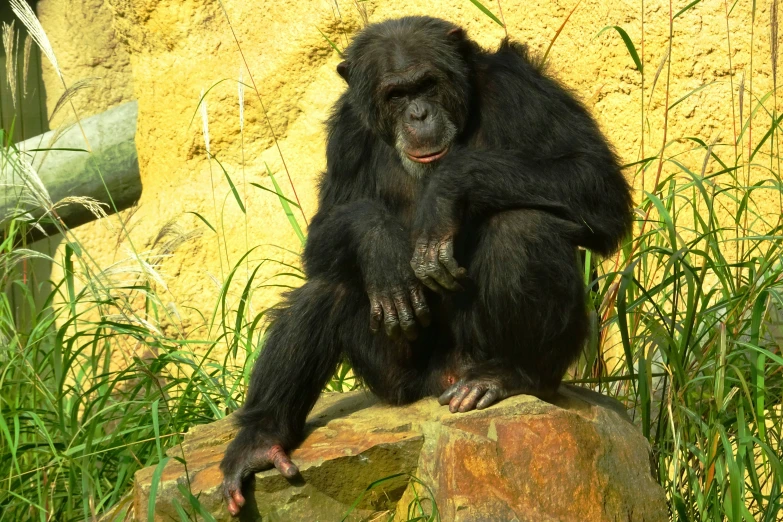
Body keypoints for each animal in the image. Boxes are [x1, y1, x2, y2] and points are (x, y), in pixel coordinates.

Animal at [217, 15, 632, 512]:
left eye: (427, 85)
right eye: (396, 94)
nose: (418, 114)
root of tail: (443, 381)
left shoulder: (521, 87)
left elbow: (595, 181)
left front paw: (447, 189)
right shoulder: (346, 131)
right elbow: (324, 228)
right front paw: (380, 244)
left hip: (497, 359)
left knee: (523, 227)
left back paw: (508, 374)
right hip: (394, 380)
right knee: (329, 284)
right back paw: (260, 440)